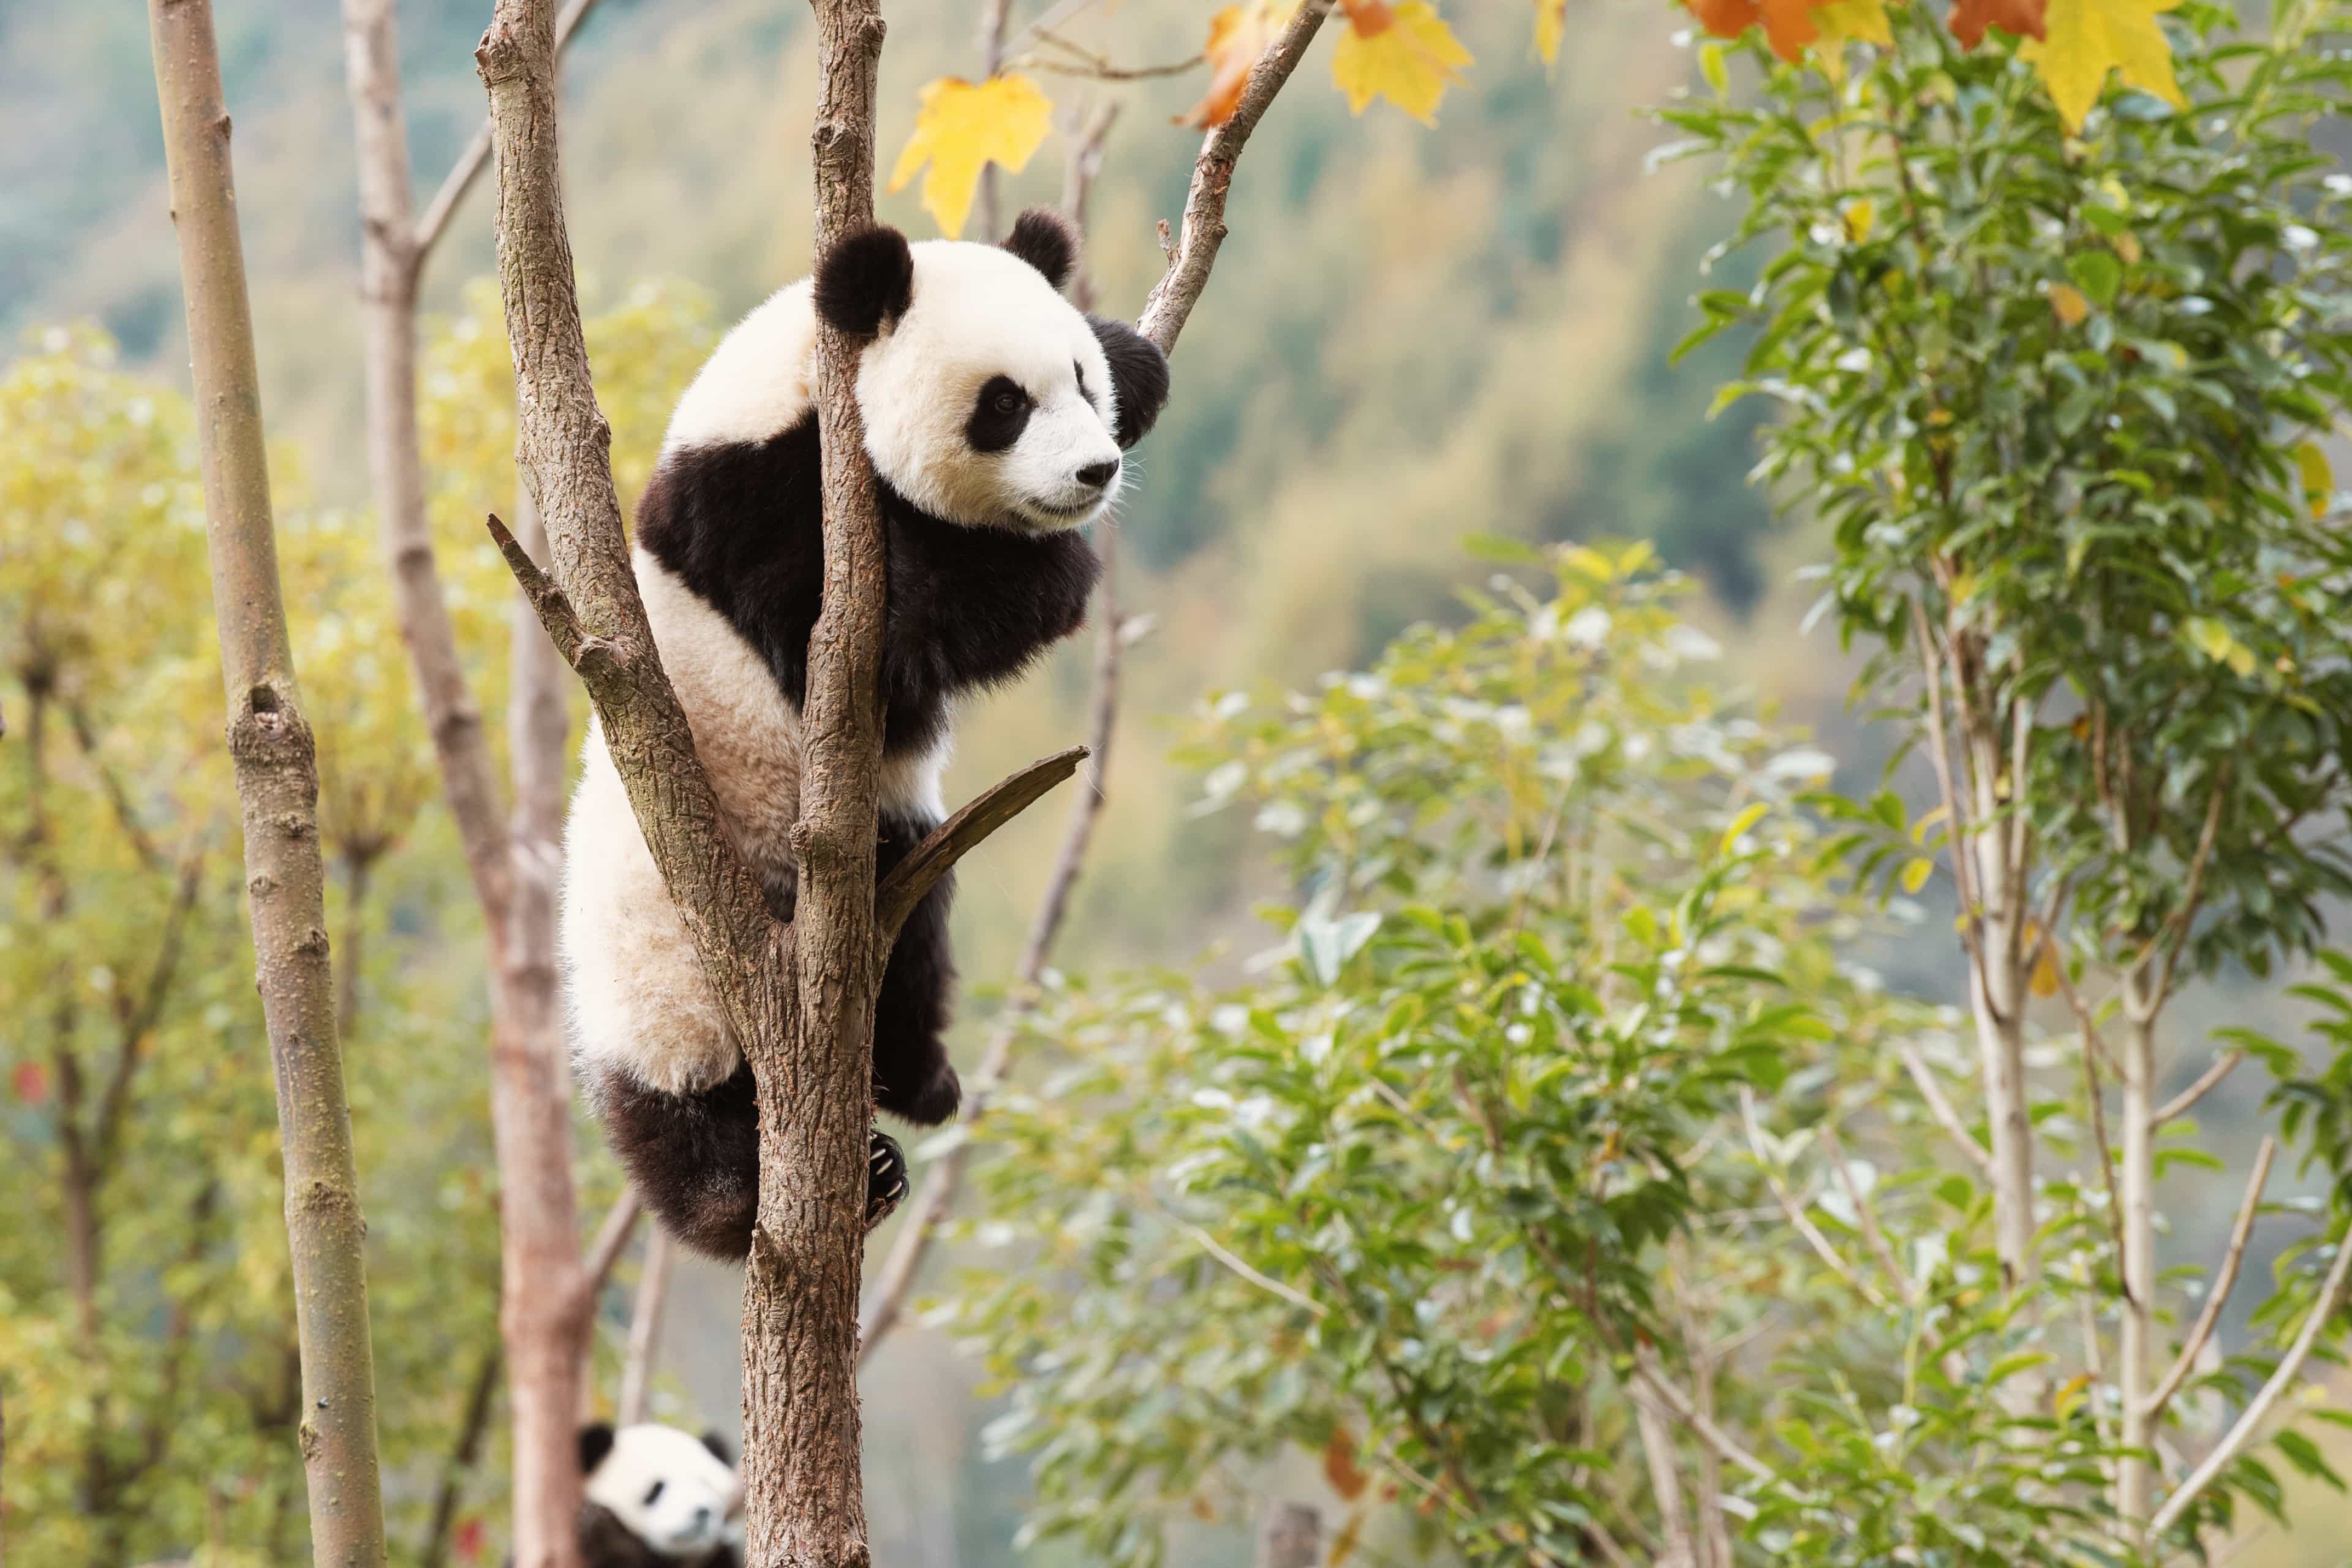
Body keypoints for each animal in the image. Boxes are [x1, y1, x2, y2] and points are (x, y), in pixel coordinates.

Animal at [559, 208, 1170, 1256]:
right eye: (1002, 404)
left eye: (1079, 381)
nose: (1094, 472)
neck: (802, 394)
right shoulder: (758, 510)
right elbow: (870, 644)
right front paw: (1049, 570)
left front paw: (1140, 362)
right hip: (661, 973)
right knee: (678, 1109)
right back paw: (744, 1195)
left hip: (893, 855)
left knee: (913, 939)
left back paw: (915, 1090)